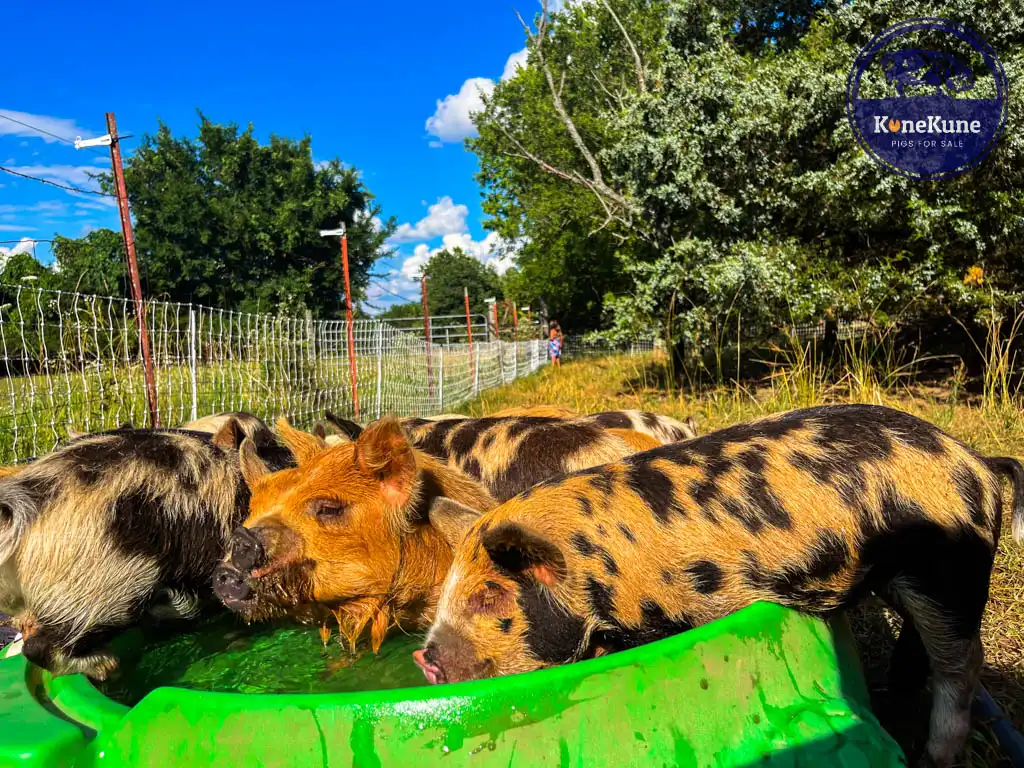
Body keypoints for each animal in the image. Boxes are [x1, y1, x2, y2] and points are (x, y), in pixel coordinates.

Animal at [417, 405, 1024, 765]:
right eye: (449, 591)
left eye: (490, 595)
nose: (426, 660)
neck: (597, 566)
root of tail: (979, 462)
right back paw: (892, 696)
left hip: (948, 571)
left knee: (961, 661)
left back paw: (933, 756)